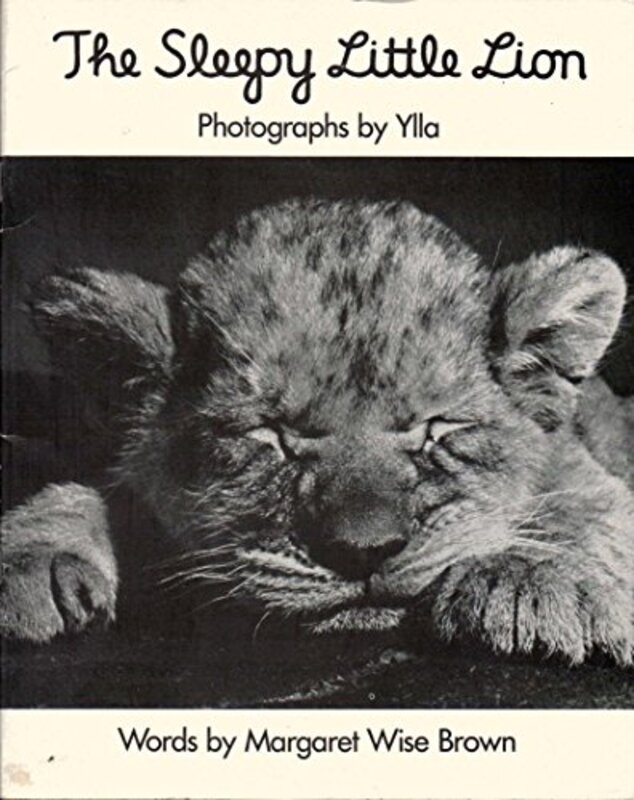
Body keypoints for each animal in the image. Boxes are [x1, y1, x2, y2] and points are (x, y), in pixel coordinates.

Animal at [2, 198, 633, 666]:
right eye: (271, 434)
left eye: (433, 429)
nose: (362, 552)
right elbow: (90, 489)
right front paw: (31, 561)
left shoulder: (579, 465)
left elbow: (585, 510)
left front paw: (536, 581)